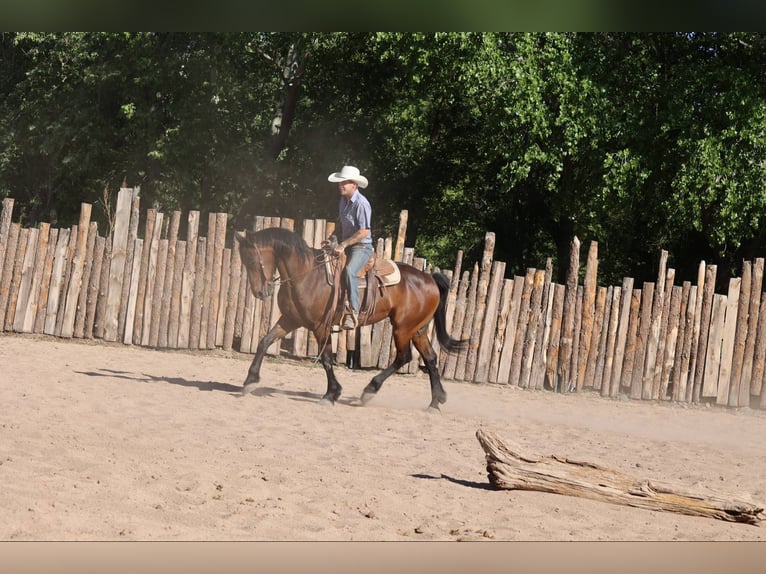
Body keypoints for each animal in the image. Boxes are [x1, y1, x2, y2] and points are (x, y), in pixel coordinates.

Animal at [235, 227, 467, 412]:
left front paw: (331, 394)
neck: (307, 274)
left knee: (404, 357)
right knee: (430, 358)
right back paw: (435, 402)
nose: (260, 293)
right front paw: (250, 380)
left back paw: (370, 390)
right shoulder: (290, 319)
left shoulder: (320, 327)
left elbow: (326, 359)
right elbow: (265, 341)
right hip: (418, 329)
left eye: (253, 260)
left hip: (403, 328)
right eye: (243, 261)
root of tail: (430, 278)